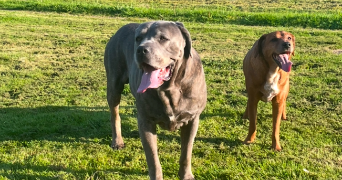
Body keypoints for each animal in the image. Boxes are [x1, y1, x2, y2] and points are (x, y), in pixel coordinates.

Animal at [103, 20, 206, 179]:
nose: (141, 50)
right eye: (138, 39)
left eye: (163, 38)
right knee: (114, 113)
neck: (170, 88)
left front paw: (186, 175)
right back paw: (117, 141)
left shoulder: (192, 119)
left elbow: (186, 152)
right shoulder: (146, 121)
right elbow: (153, 159)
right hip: (114, 84)